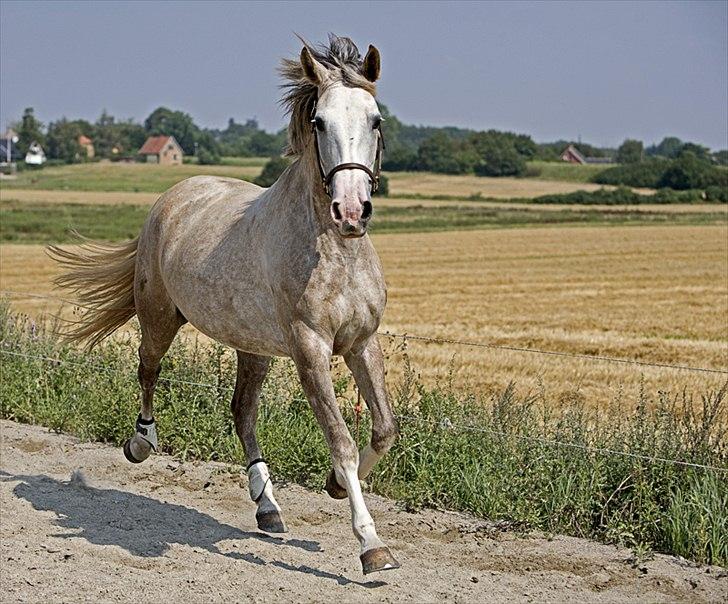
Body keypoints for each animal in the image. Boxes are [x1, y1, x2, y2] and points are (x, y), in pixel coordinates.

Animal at [48, 35, 400, 572]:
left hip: (252, 347)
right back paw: (141, 443)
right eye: (319, 122)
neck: (333, 250)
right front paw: (371, 545)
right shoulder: (311, 350)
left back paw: (268, 506)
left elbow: (382, 429)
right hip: (160, 318)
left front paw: (337, 487)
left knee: (242, 412)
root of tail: (174, 196)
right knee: (148, 370)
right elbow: (340, 440)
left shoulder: (361, 342)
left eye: (375, 119)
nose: (350, 211)